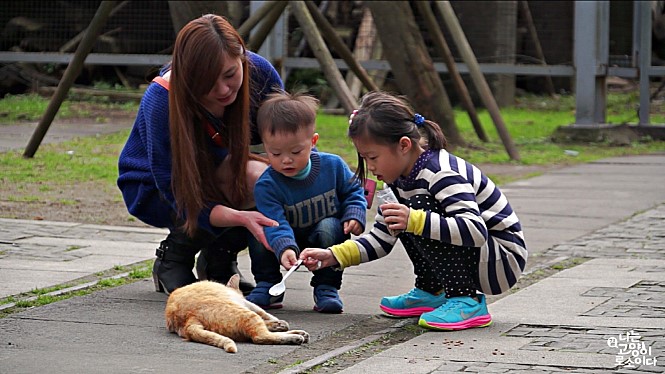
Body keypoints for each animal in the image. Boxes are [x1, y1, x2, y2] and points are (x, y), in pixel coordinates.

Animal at [163, 274, 308, 350]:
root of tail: (189, 318)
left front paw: (277, 324)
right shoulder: (248, 304)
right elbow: (265, 314)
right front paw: (278, 322)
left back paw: (297, 333)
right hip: (247, 314)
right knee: (260, 337)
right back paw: (295, 337)